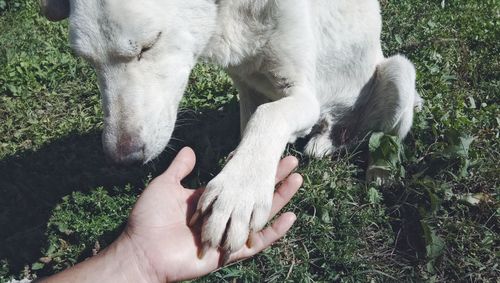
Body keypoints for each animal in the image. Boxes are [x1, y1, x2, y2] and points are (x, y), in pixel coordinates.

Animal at [42, 0, 422, 258]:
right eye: (87, 60)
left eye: (149, 44)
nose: (122, 159)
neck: (232, 17)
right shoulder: (246, 84)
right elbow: (249, 122)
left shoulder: (303, 94)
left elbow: (268, 116)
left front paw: (239, 190)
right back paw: (323, 142)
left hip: (400, 73)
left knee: (381, 138)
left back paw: (380, 173)